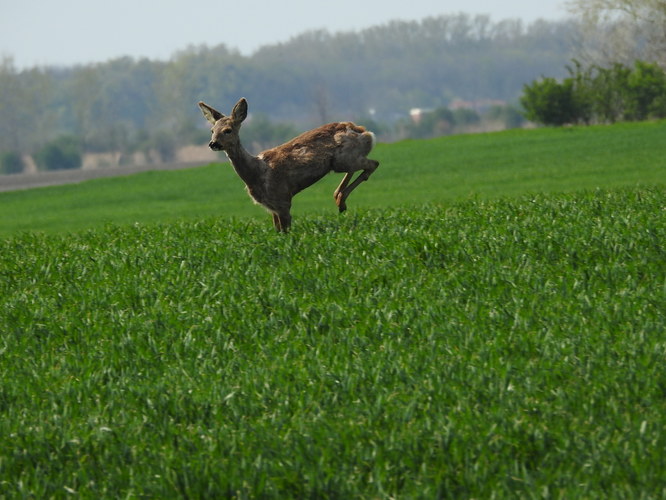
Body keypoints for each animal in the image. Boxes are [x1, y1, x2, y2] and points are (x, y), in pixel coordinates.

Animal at [197, 97, 376, 232]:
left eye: (228, 130)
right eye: (212, 130)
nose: (213, 144)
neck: (257, 173)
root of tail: (365, 132)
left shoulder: (282, 199)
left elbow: (286, 231)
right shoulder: (272, 207)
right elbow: (278, 231)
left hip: (344, 159)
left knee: (373, 164)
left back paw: (341, 200)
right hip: (342, 161)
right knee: (360, 167)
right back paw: (339, 199)